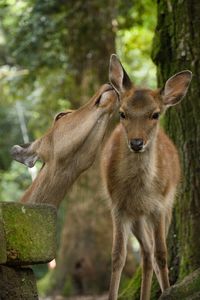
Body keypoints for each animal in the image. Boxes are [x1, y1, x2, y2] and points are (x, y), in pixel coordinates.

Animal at [101, 54, 192, 300]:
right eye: (122, 113)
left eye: (155, 114)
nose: (136, 142)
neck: (140, 189)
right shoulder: (118, 207)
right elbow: (117, 256)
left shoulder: (159, 205)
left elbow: (162, 254)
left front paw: (169, 292)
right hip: (136, 218)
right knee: (146, 251)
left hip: (166, 207)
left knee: (152, 251)